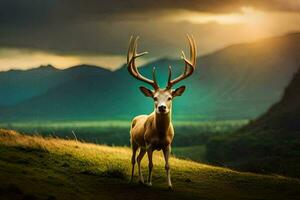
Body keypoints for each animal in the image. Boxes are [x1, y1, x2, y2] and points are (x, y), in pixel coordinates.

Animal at [126, 34, 197, 189]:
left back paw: (140, 180)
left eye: (170, 97)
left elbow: (167, 165)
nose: (162, 107)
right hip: (134, 141)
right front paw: (150, 183)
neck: (160, 134)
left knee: (139, 158)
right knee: (133, 159)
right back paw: (132, 180)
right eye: (155, 97)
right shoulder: (149, 144)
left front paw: (170, 185)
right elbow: (151, 164)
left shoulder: (168, 145)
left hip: (142, 146)